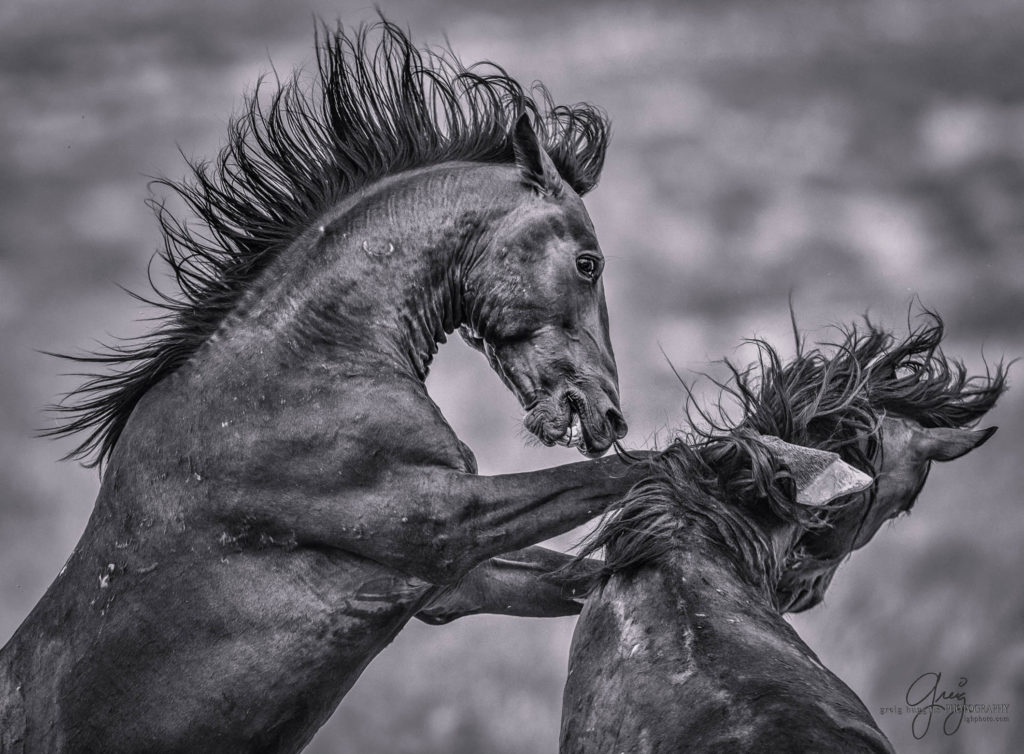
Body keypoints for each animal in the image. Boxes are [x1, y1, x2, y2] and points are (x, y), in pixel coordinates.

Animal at [0, 19, 638, 754]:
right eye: (588, 264)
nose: (609, 415)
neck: (306, 368)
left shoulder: (452, 583)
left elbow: (578, 571)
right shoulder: (443, 521)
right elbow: (619, 475)